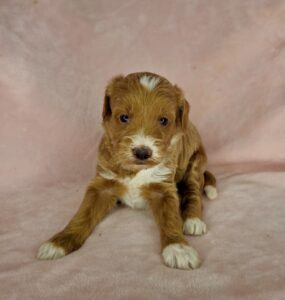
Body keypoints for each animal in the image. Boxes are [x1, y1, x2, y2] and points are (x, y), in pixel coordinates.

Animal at [36, 72, 216, 270]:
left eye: (164, 120)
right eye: (123, 118)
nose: (142, 152)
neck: (135, 170)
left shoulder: (163, 187)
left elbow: (170, 217)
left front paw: (178, 248)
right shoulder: (102, 184)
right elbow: (83, 214)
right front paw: (59, 242)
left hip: (196, 161)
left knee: (193, 189)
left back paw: (193, 219)